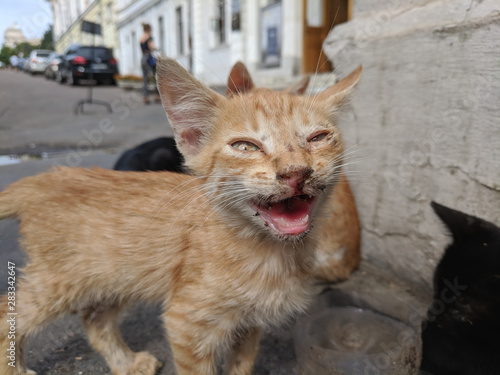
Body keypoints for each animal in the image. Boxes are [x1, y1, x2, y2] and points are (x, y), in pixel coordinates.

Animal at [0, 58, 360, 375]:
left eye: (318, 138)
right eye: (245, 147)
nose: (296, 173)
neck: (270, 253)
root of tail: (46, 177)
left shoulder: (249, 323)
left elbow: (241, 366)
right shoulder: (186, 323)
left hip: (113, 275)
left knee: (95, 321)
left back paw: (126, 363)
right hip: (57, 282)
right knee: (8, 314)